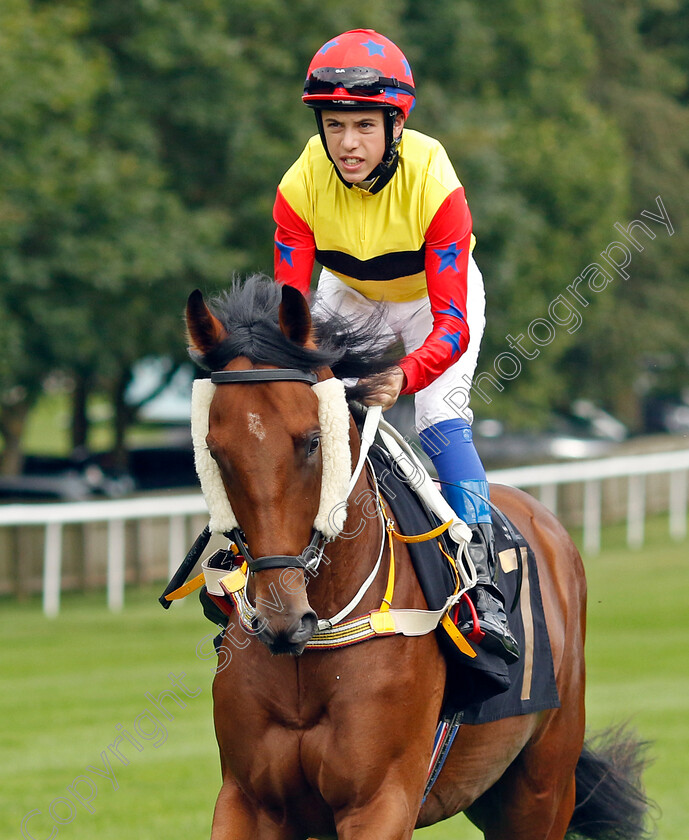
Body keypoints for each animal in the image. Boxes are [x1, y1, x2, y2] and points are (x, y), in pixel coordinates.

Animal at [184, 276, 652, 840]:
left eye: (313, 442)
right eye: (215, 451)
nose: (283, 618)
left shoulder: (380, 801)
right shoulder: (248, 801)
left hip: (543, 790)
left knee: (444, 423)